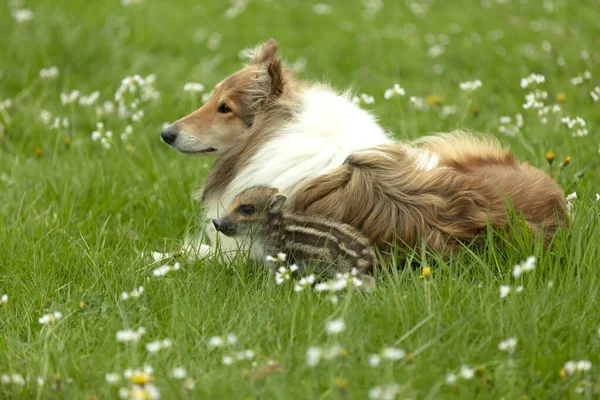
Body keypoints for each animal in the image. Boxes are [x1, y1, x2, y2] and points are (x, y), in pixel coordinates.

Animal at [161, 39, 568, 260]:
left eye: (224, 107)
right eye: (212, 97)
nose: (166, 132)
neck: (276, 132)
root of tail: (561, 206)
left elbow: (181, 255)